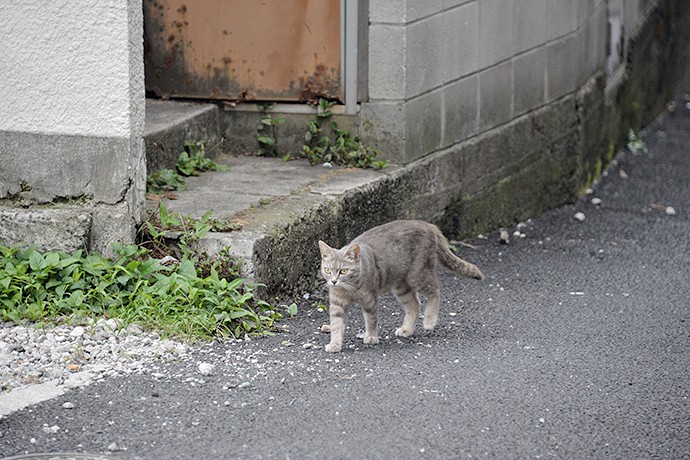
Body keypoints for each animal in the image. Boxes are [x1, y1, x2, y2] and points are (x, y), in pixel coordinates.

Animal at [318, 219, 484, 352]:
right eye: (327, 270)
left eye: (343, 271)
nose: (333, 281)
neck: (349, 290)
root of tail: (427, 224)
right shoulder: (337, 304)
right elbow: (336, 325)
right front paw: (335, 344)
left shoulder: (370, 300)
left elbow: (371, 320)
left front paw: (371, 336)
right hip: (401, 285)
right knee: (414, 305)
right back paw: (407, 329)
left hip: (418, 274)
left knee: (435, 291)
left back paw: (429, 321)